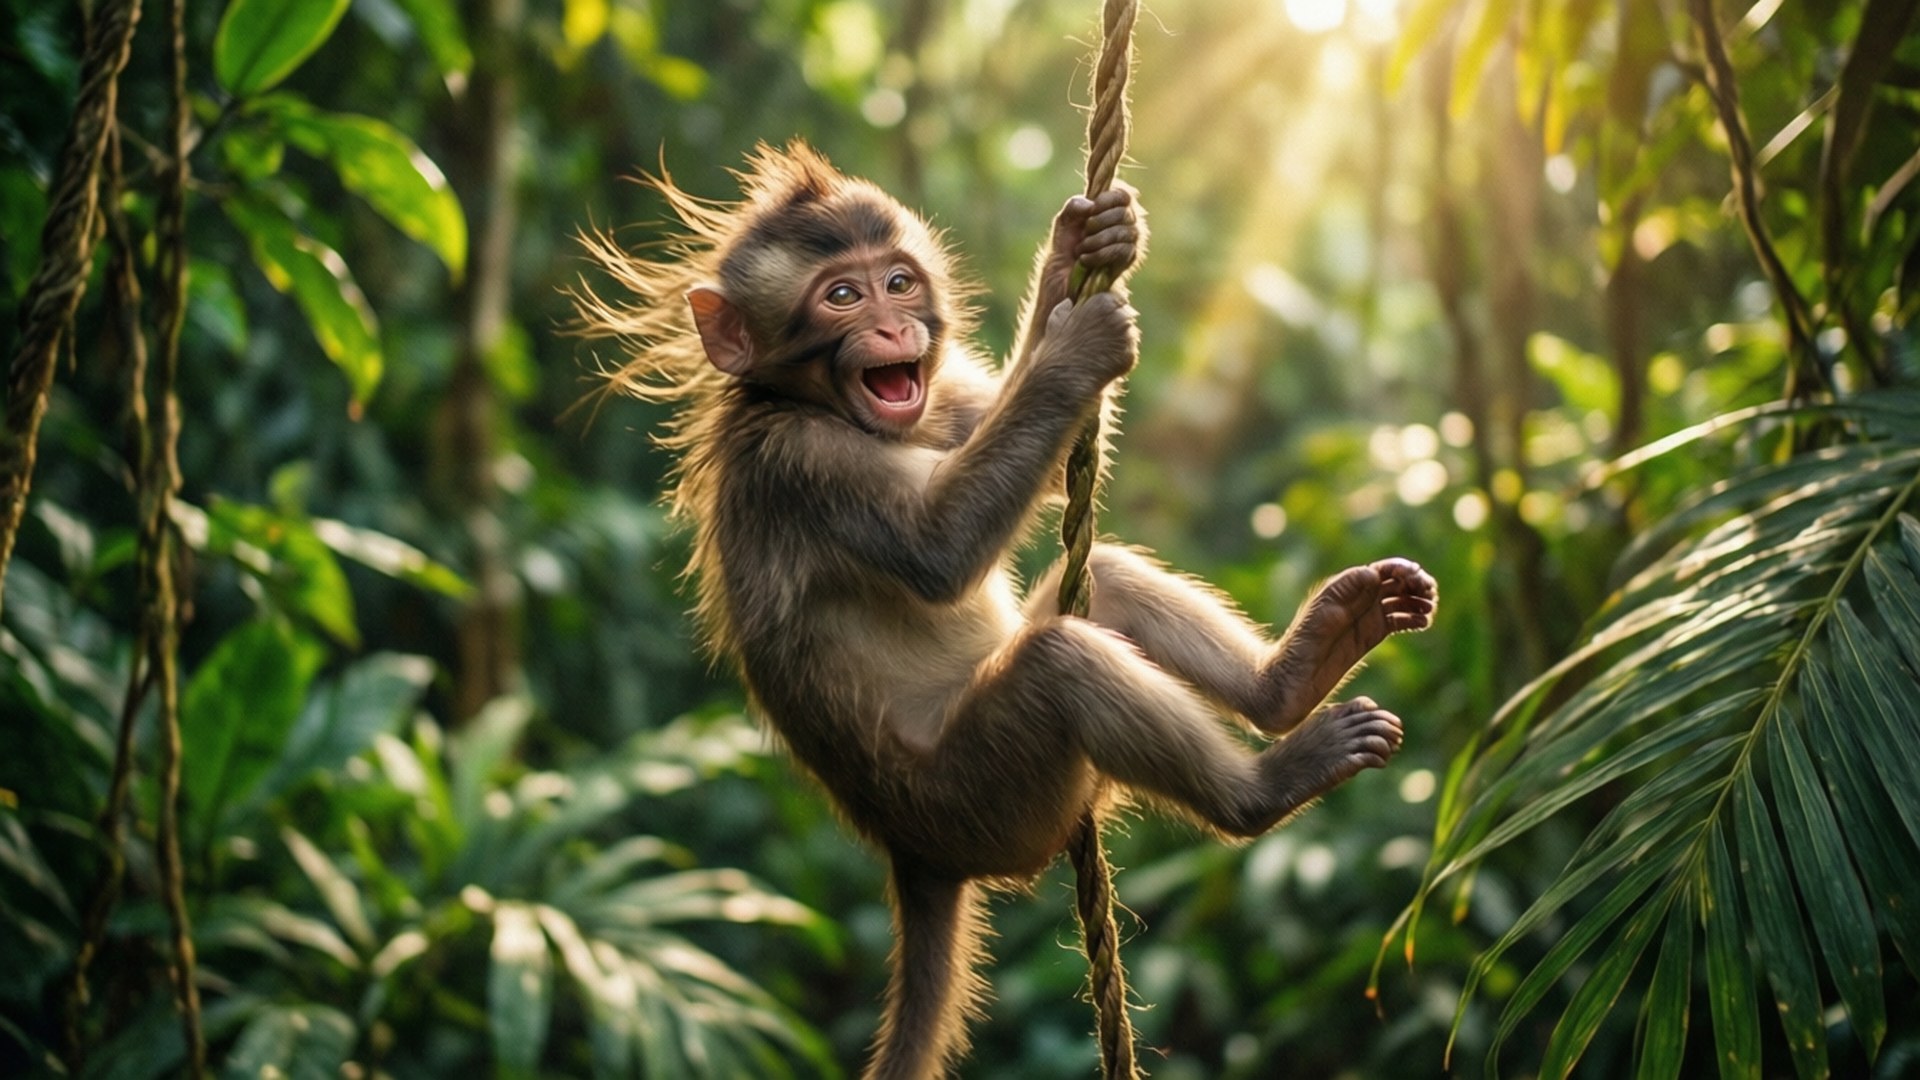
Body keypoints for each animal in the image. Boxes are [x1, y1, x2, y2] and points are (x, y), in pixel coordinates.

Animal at [574, 141, 1436, 1079]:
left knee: (1106, 581)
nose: (896, 330)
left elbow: (1029, 454)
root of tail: (912, 852)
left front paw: (1085, 246)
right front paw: (1078, 347)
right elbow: (939, 550)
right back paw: (1264, 790)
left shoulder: (935, 403)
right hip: (990, 796)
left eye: (899, 282)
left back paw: (1299, 673)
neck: (800, 401)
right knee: (1060, 663)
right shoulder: (801, 463)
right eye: (843, 297)